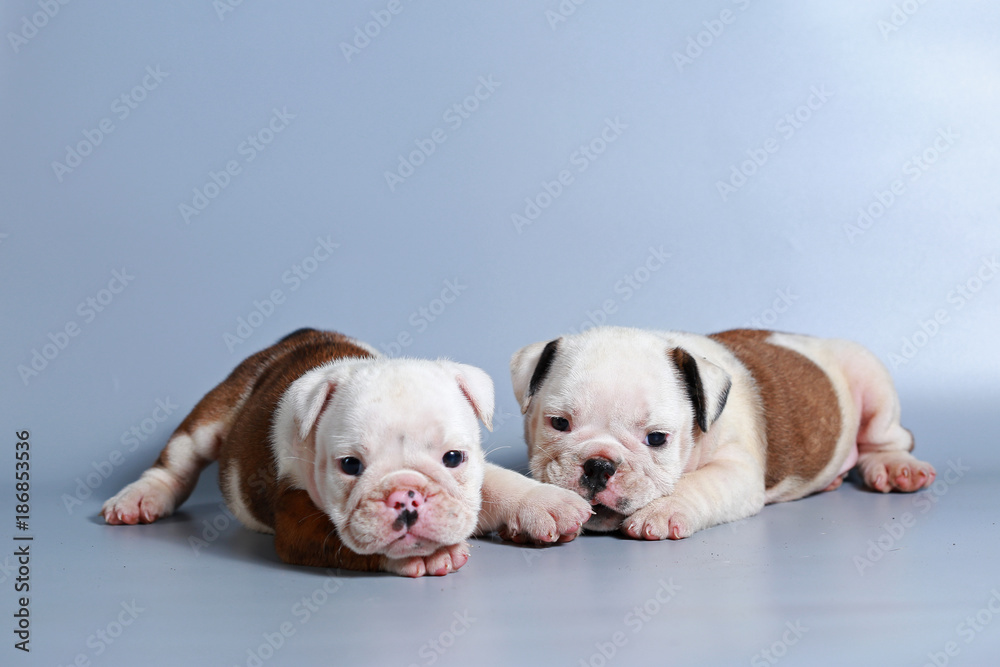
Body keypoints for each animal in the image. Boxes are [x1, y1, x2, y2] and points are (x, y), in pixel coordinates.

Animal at [105, 326, 588, 576]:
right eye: (350, 465)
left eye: (453, 458)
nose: (407, 494)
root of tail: (291, 340)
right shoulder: (298, 517)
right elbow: (346, 541)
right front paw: (425, 554)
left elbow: (497, 483)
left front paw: (546, 501)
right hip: (211, 414)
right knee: (177, 460)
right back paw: (139, 498)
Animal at [512, 326, 940, 540]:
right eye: (559, 423)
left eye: (657, 439)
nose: (599, 465)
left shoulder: (736, 472)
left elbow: (697, 484)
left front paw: (663, 511)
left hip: (870, 376)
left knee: (887, 438)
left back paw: (895, 467)